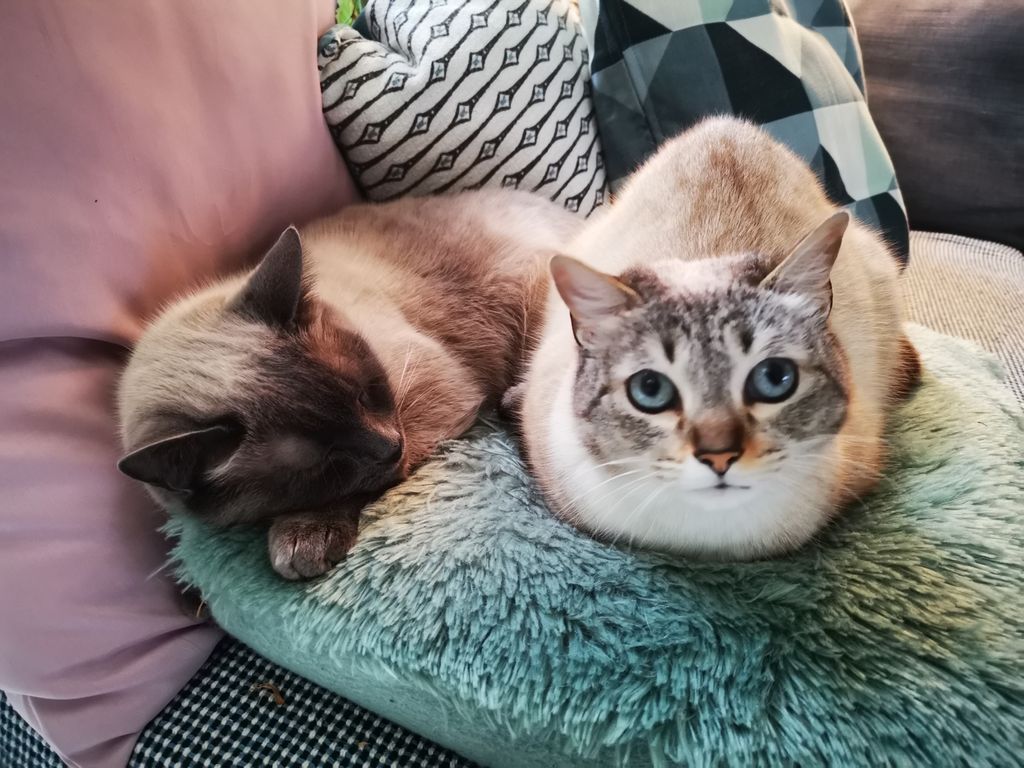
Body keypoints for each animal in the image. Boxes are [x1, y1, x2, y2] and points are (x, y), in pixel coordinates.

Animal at [118, 190, 580, 579]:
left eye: (365, 393)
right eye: (325, 461)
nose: (390, 447)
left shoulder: (432, 390)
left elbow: (370, 483)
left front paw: (303, 536)